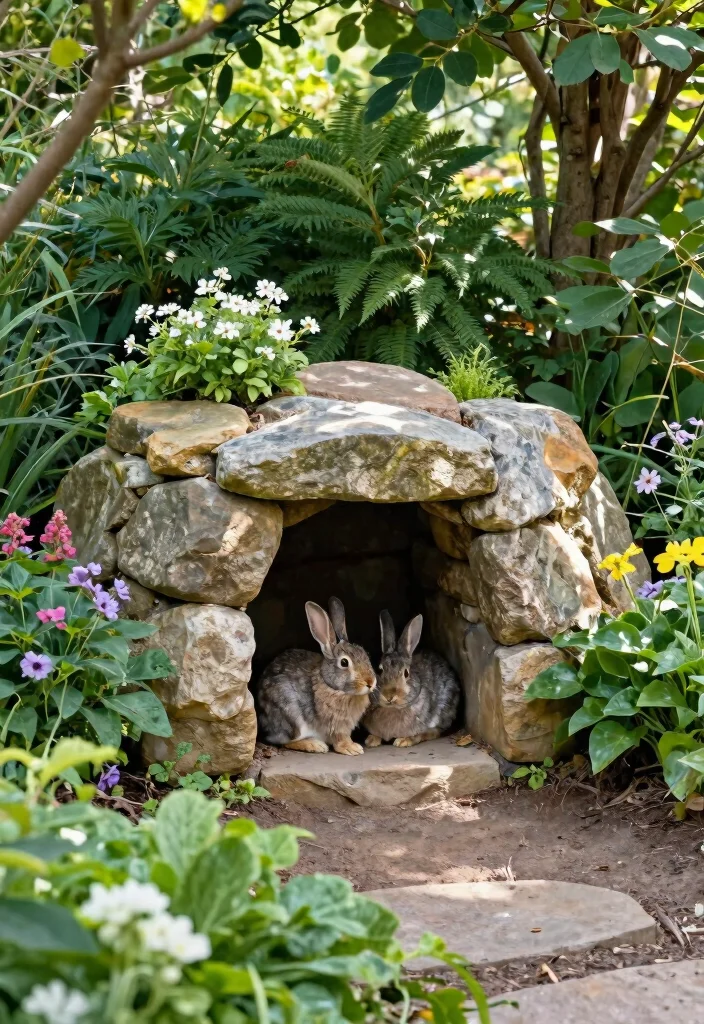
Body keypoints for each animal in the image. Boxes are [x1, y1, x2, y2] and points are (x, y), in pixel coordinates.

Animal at [257, 597, 376, 756]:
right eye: (344, 662)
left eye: (365, 654)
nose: (370, 682)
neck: (331, 686)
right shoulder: (336, 725)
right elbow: (340, 738)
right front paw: (351, 748)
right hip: (292, 717)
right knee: (284, 741)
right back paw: (315, 745)